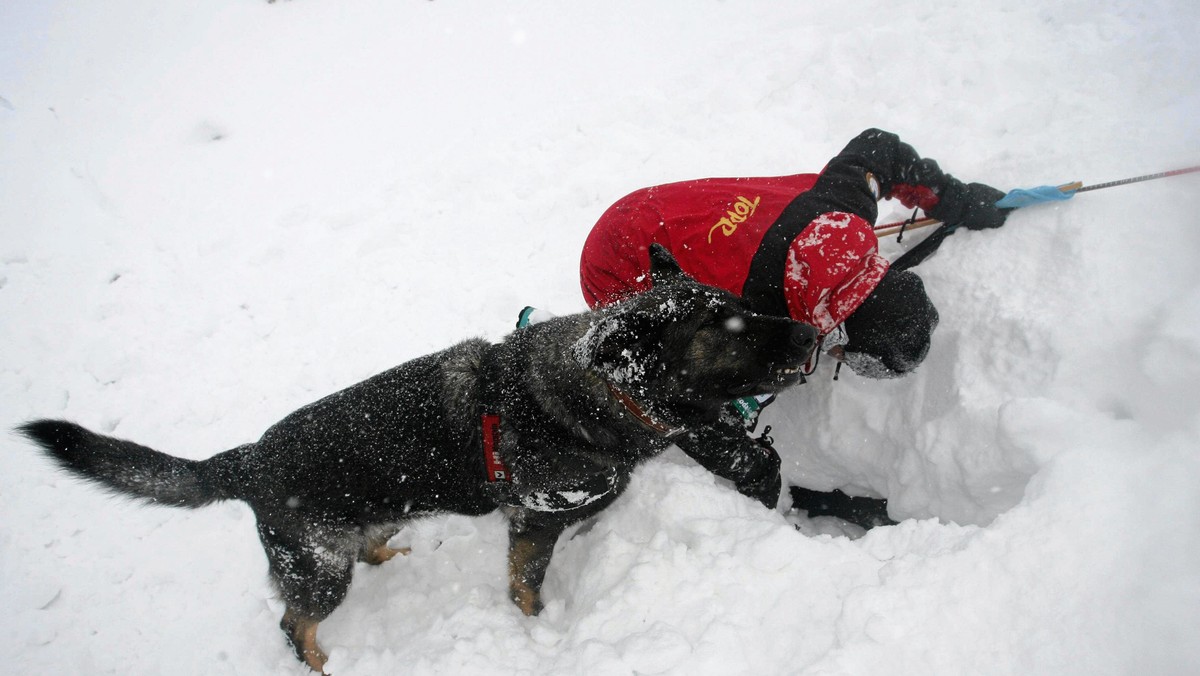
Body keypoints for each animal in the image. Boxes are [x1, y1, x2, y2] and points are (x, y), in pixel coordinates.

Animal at [21, 246, 816, 672]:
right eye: (725, 327)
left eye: (741, 303)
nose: (811, 334)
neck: (596, 388)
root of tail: (245, 459)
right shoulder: (533, 523)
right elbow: (526, 589)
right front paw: (538, 633)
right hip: (319, 573)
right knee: (293, 624)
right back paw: (322, 664)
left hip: (357, 530)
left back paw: (387, 554)